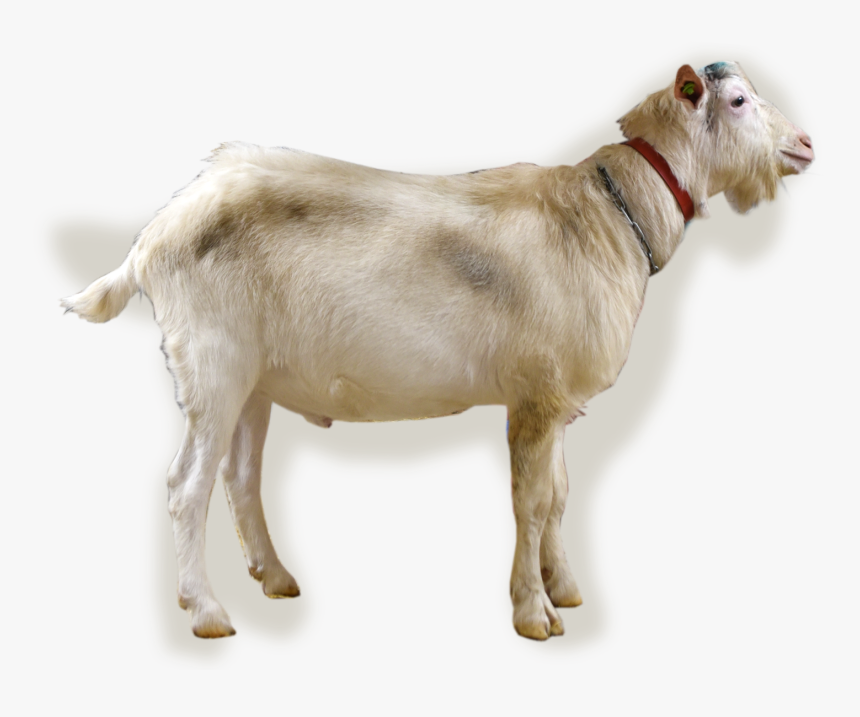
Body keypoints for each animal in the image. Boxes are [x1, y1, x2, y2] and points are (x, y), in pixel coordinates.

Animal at [62, 62, 813, 640]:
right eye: (738, 101)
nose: (806, 142)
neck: (606, 216)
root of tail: (155, 233)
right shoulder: (534, 396)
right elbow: (530, 501)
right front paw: (534, 614)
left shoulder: (556, 399)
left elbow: (559, 497)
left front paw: (564, 589)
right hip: (212, 362)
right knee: (185, 486)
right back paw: (208, 612)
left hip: (252, 378)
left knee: (239, 477)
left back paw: (274, 578)